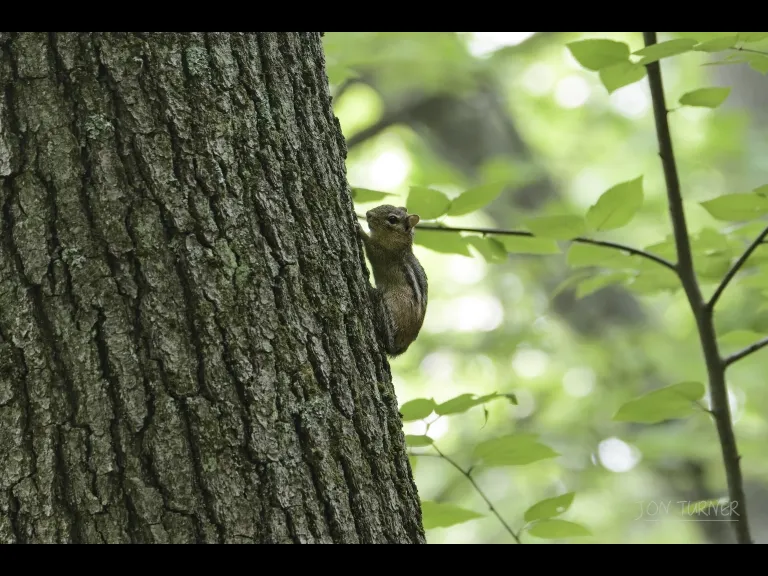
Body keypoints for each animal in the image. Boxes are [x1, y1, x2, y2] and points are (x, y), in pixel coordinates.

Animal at [358, 204, 428, 357]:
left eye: (392, 219)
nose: (368, 214)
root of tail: (400, 348)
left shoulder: (383, 253)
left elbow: (370, 246)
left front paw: (360, 230)